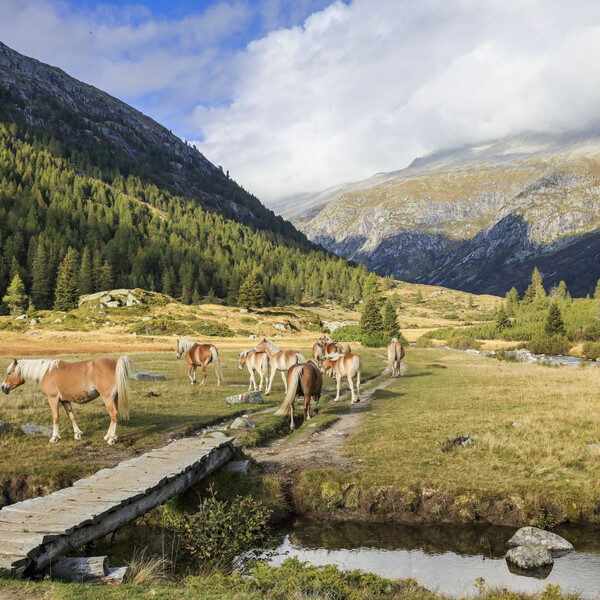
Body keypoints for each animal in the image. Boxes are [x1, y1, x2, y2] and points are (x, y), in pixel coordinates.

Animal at [1, 356, 134, 446]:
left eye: (9, 373)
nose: (3, 387)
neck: (45, 372)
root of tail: (116, 364)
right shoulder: (65, 401)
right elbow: (71, 416)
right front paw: (77, 434)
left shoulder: (53, 399)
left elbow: (55, 418)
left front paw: (54, 437)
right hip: (114, 398)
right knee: (114, 416)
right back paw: (109, 436)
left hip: (107, 398)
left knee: (114, 415)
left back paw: (111, 439)